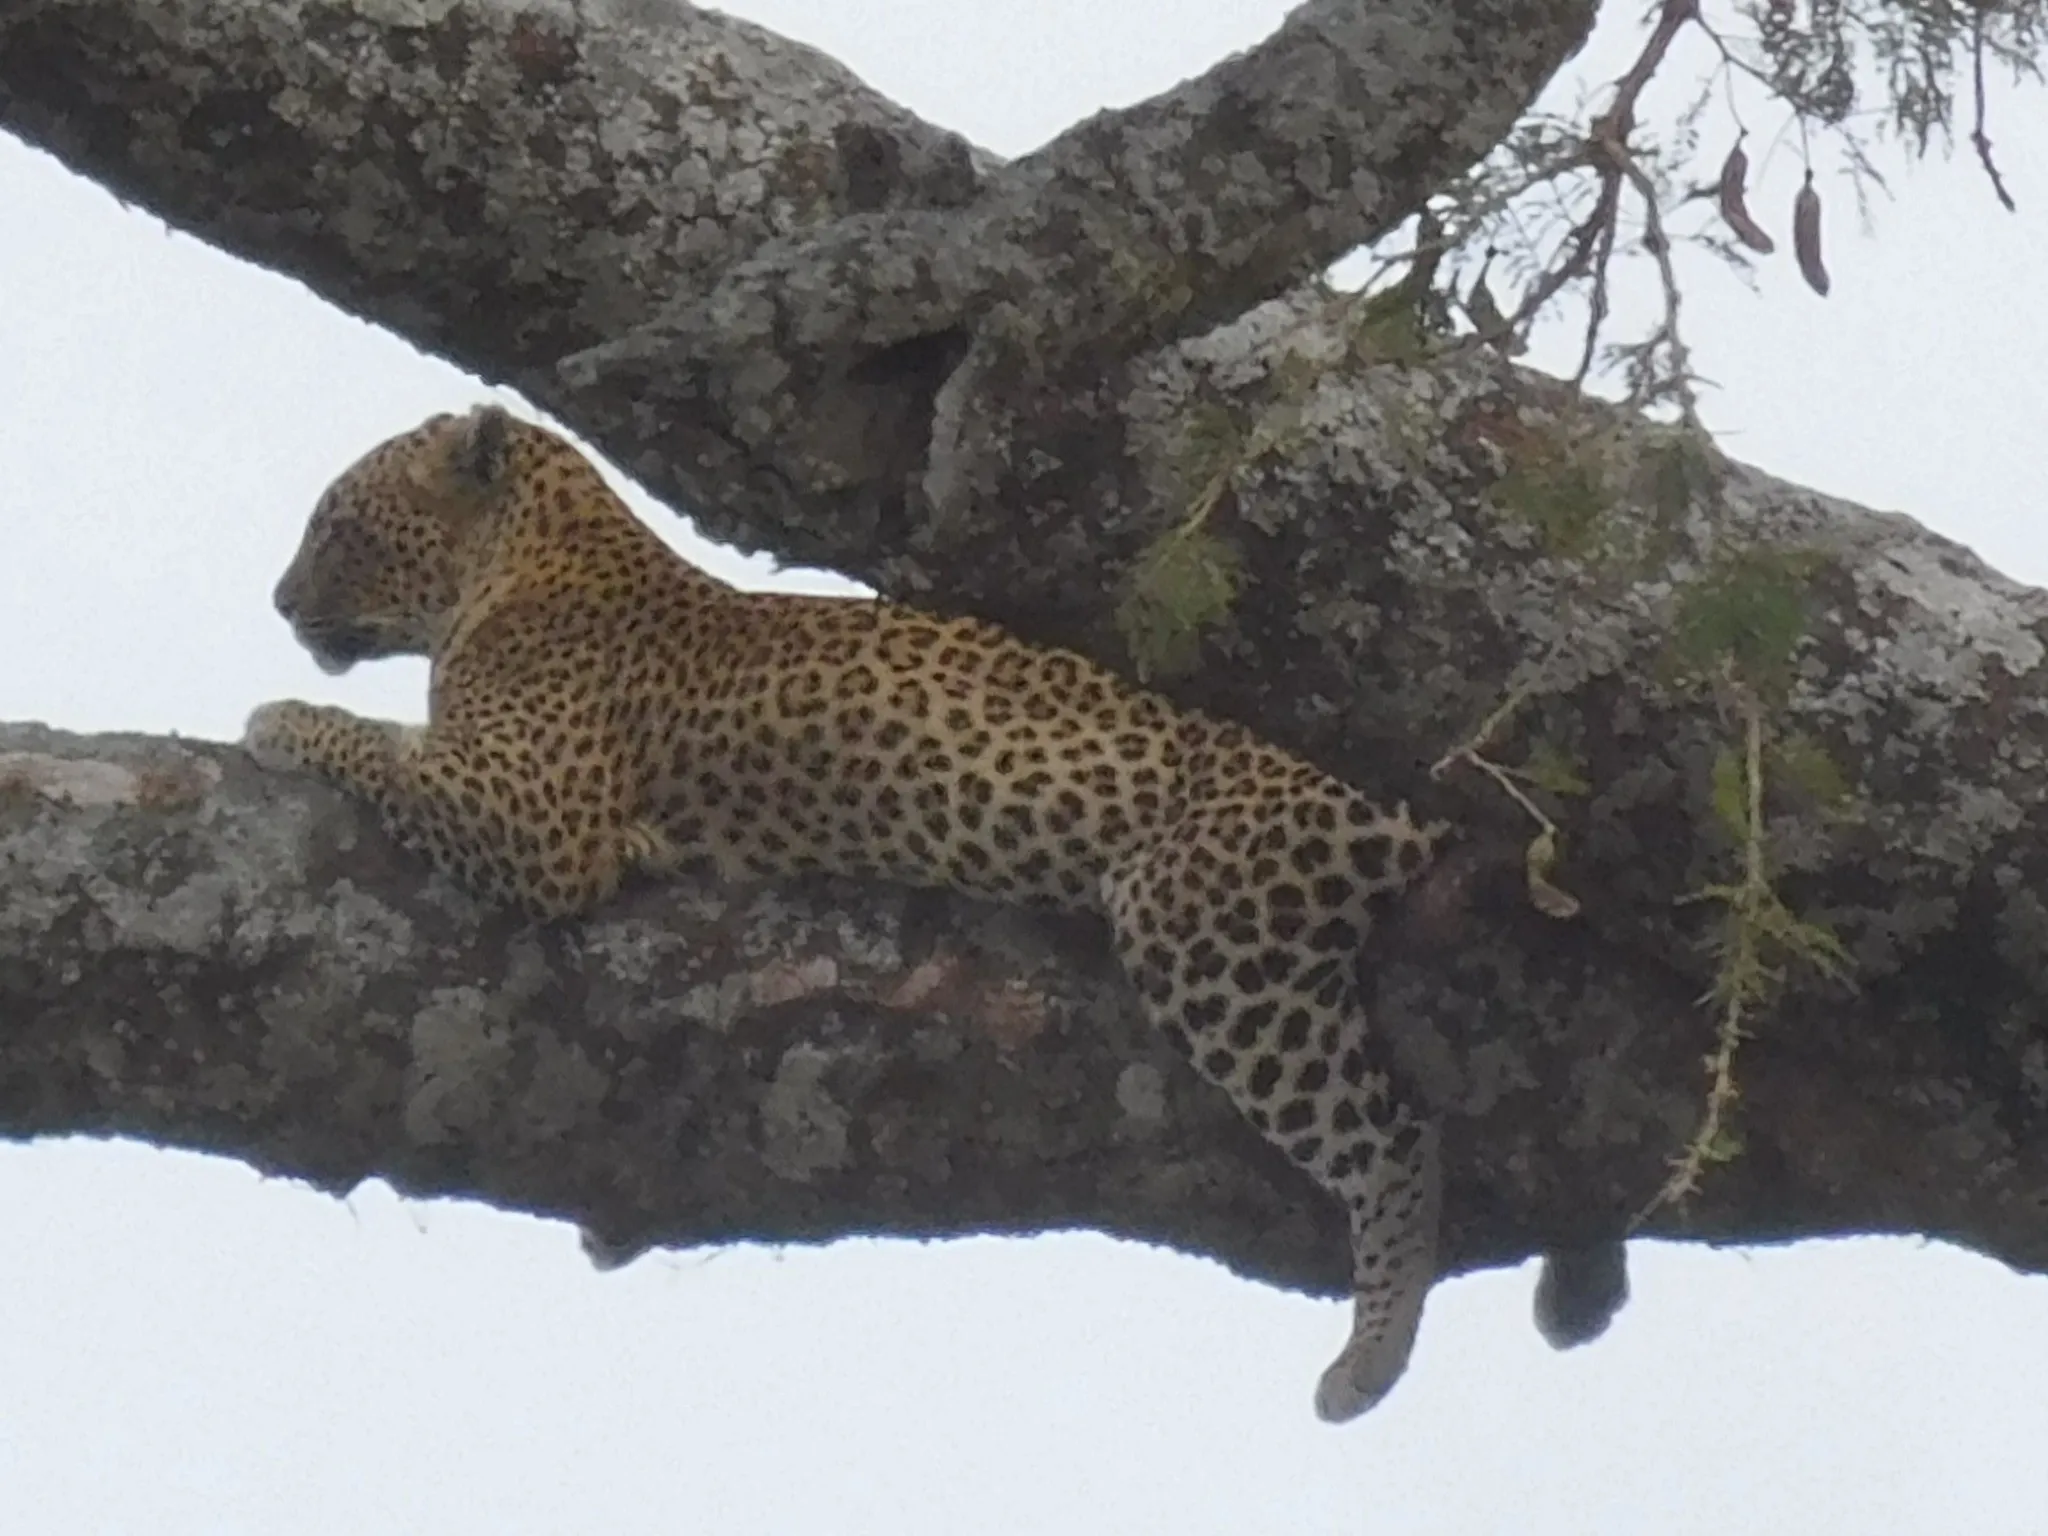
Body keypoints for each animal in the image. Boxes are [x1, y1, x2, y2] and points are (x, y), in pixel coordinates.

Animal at [243, 403, 1613, 1422]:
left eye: (335, 522)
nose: (279, 602)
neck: (533, 554)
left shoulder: (536, 814)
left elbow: (380, 745)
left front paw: (277, 721)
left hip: (1200, 909)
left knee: (1392, 1140)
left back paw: (1369, 1353)